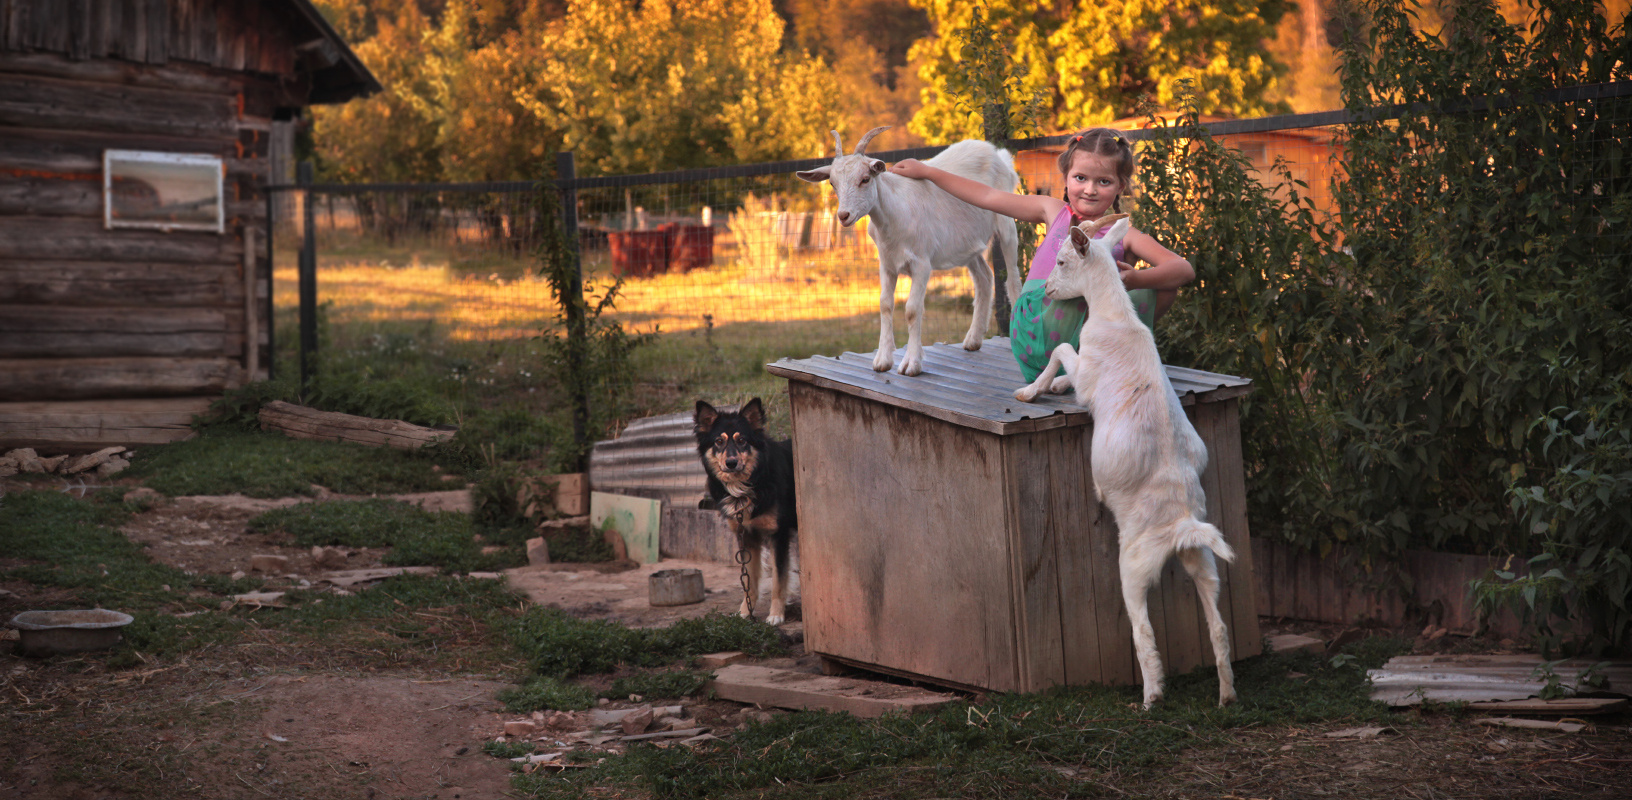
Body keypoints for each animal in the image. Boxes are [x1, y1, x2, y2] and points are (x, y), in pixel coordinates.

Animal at [796, 127, 1020, 376]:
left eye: (865, 179)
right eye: (833, 184)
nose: (844, 216)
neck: (895, 214)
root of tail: (998, 154)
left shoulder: (922, 264)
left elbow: (913, 309)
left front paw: (911, 364)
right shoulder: (887, 263)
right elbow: (885, 304)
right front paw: (882, 361)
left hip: (1007, 224)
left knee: (1012, 279)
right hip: (966, 243)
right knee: (984, 277)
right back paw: (973, 340)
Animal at [1013, 214, 1237, 709]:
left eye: (1062, 260)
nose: (1047, 289)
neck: (1115, 318)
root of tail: (1182, 526)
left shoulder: (1089, 376)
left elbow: (1060, 351)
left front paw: (1034, 390)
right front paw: (1051, 387)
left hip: (1134, 562)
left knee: (1143, 627)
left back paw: (1152, 695)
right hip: (1203, 559)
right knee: (1218, 625)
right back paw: (1227, 694)